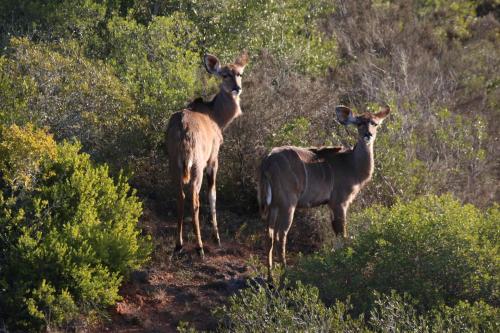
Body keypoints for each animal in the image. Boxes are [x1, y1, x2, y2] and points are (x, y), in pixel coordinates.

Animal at [166, 51, 248, 256]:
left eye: (239, 74)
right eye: (225, 74)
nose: (237, 88)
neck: (214, 115)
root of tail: (184, 131)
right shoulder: (213, 160)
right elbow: (213, 195)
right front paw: (217, 238)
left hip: (174, 165)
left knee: (180, 197)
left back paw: (179, 245)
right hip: (197, 167)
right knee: (194, 199)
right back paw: (200, 247)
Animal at [258, 105, 390, 276]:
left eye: (374, 123)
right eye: (359, 123)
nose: (368, 135)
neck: (351, 164)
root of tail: (267, 161)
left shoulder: (330, 205)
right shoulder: (339, 203)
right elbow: (342, 235)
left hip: (273, 205)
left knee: (269, 235)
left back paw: (270, 276)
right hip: (288, 205)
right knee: (281, 236)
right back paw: (285, 273)